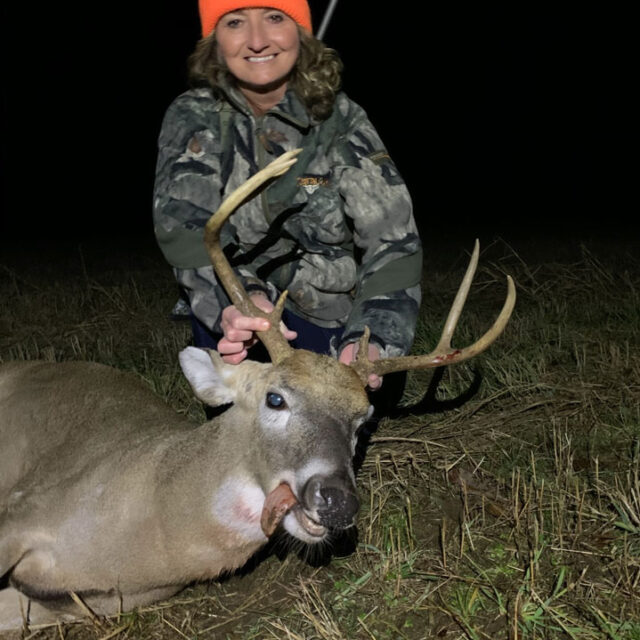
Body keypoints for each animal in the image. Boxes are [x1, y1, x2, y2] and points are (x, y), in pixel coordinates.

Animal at [0, 149, 516, 633]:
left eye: (362, 421)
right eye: (275, 398)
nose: (338, 501)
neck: (149, 518)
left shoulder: (86, 601)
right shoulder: (24, 508)